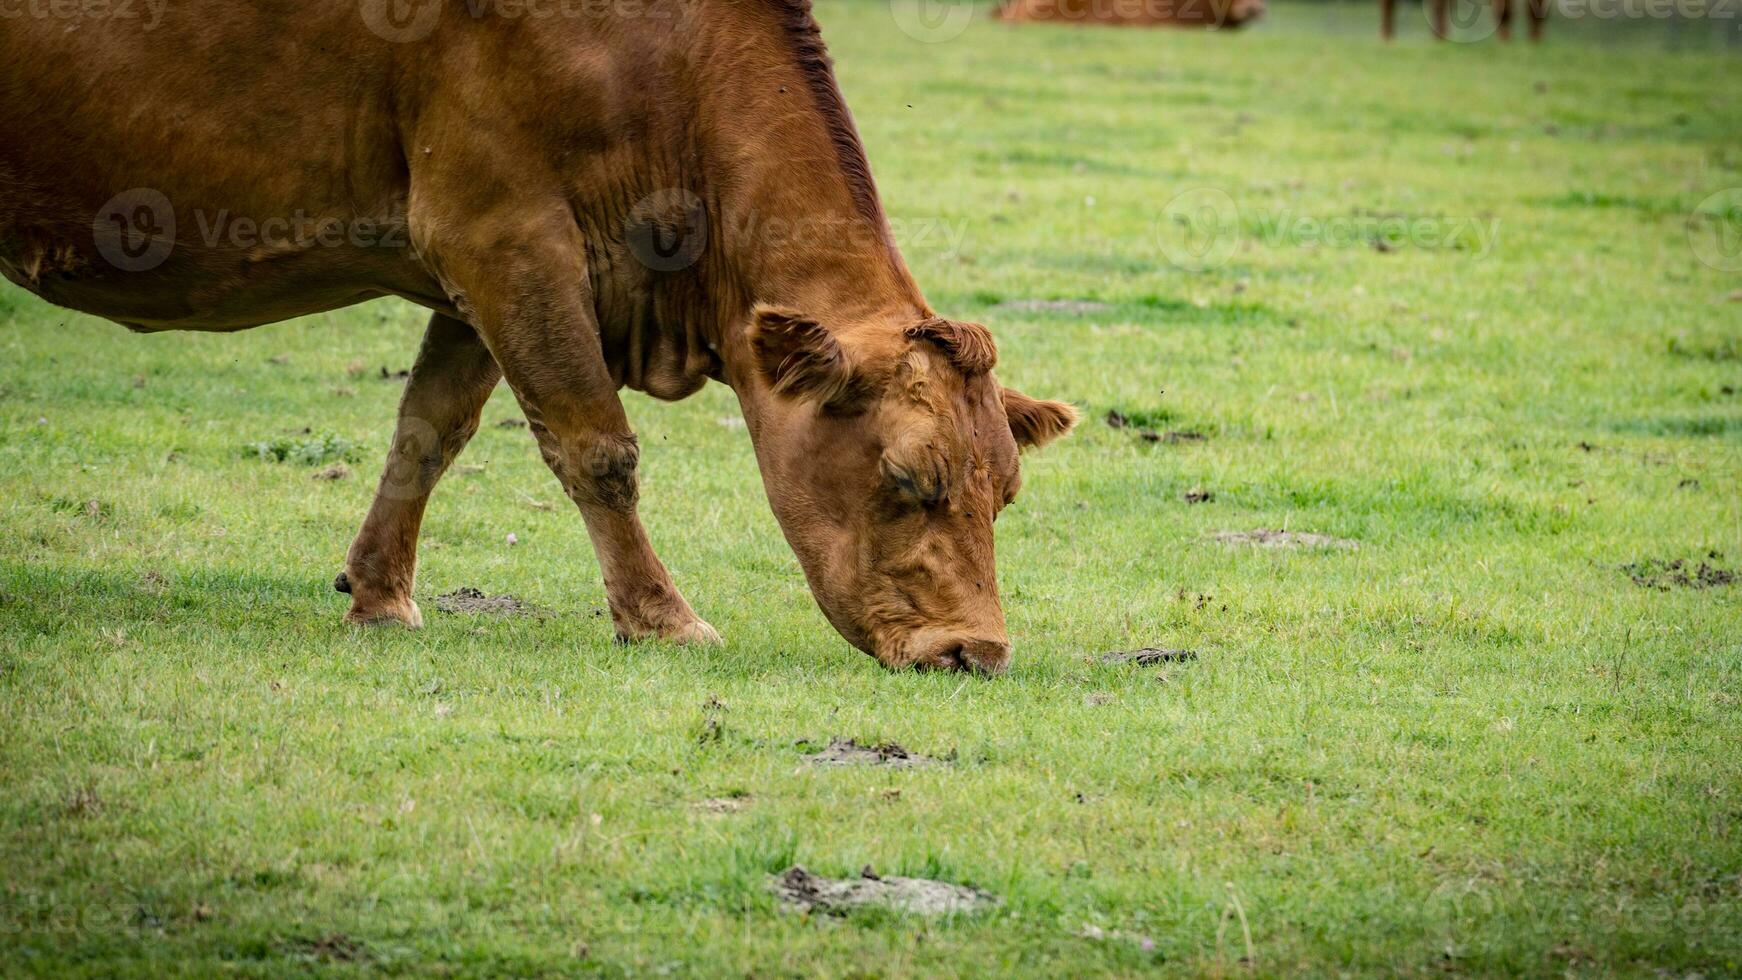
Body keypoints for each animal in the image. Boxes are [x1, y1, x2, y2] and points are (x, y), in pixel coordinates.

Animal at [0, 0, 1080, 675]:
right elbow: (598, 448)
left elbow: (428, 430)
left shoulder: (482, 269)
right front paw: (661, 618)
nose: (975, 650)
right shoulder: (503, 233)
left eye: (1005, 490)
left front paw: (378, 593)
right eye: (907, 478)